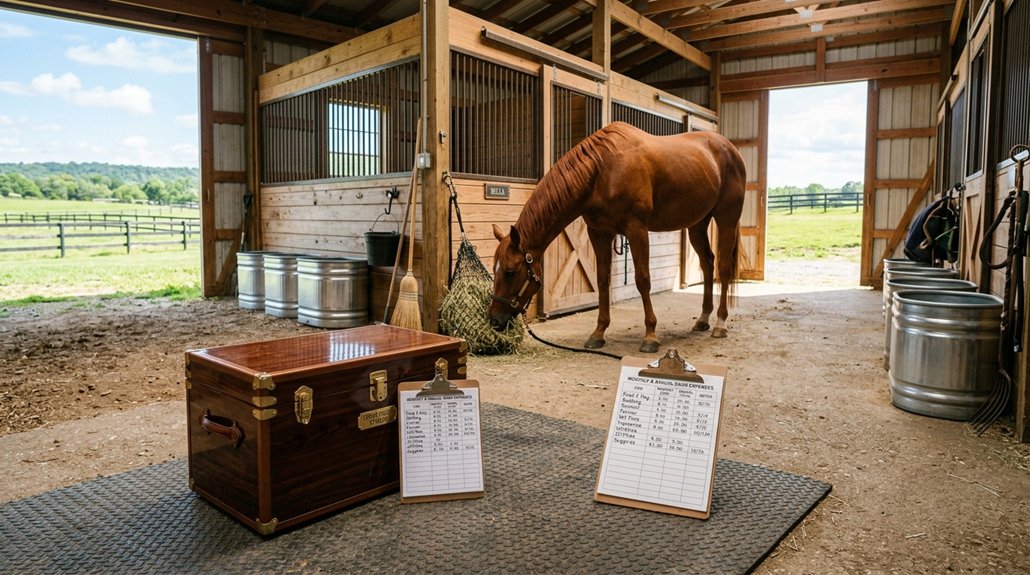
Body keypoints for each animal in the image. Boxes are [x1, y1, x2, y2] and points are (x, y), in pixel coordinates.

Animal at [489, 121, 746, 354]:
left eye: (510, 271)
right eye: (495, 269)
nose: (494, 320)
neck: (603, 171)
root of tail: (730, 149)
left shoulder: (637, 229)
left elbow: (643, 280)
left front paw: (650, 336)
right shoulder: (599, 233)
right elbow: (603, 280)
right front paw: (598, 333)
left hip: (726, 218)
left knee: (723, 268)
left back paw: (720, 324)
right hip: (697, 224)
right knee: (708, 263)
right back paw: (703, 319)